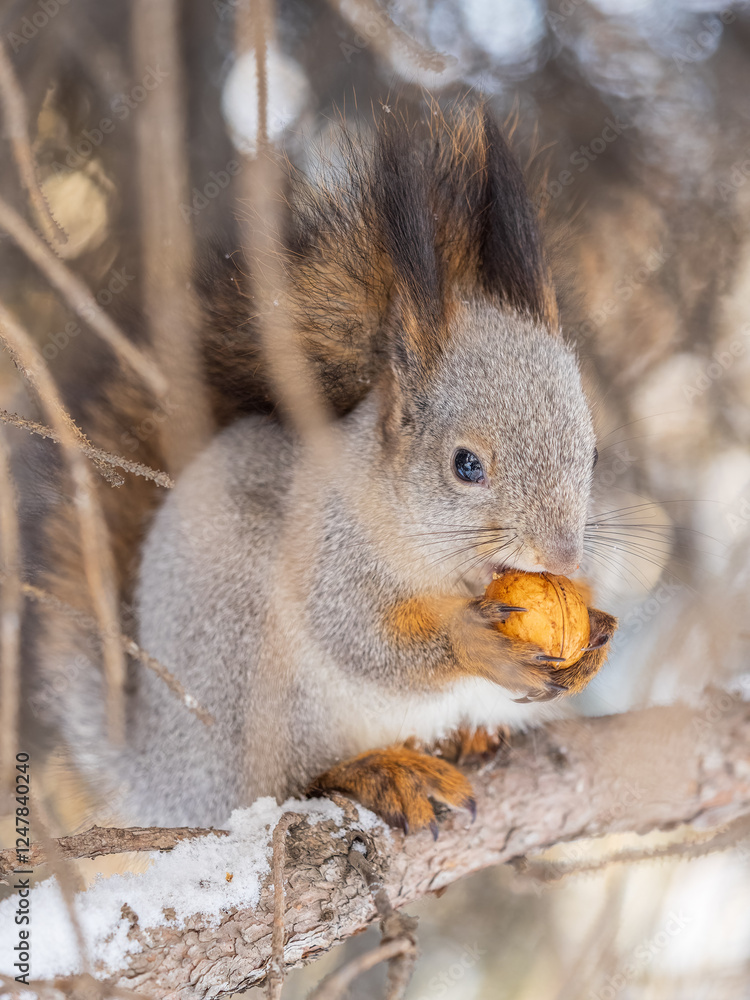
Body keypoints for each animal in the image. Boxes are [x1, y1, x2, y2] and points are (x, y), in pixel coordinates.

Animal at [37, 103, 617, 834]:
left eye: (592, 451)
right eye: (465, 465)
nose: (564, 558)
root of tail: (161, 774)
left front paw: (596, 636)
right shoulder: (327, 555)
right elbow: (362, 638)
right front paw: (473, 644)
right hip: (260, 681)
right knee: (290, 781)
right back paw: (378, 770)